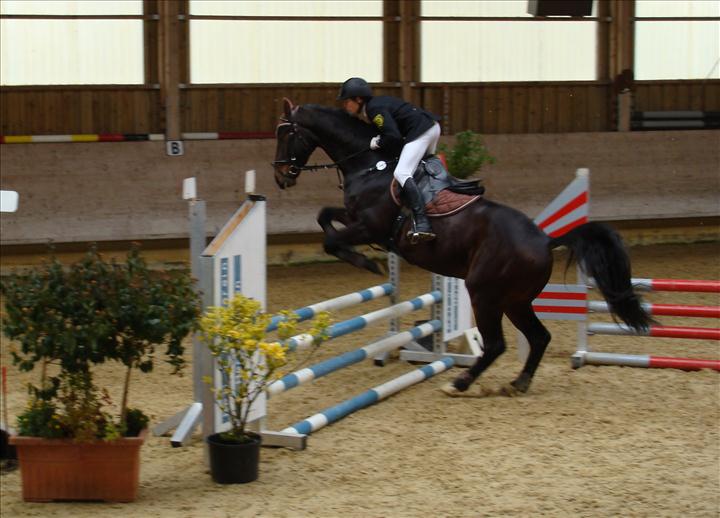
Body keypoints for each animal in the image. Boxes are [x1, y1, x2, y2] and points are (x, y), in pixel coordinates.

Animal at [272, 98, 651, 396]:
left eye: (286, 134)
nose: (280, 177)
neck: (370, 164)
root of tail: (544, 240)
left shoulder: (369, 225)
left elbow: (331, 239)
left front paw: (368, 263)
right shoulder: (355, 218)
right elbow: (324, 217)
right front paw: (369, 260)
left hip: (484, 292)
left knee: (496, 344)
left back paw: (460, 383)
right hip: (515, 300)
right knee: (539, 336)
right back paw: (517, 384)